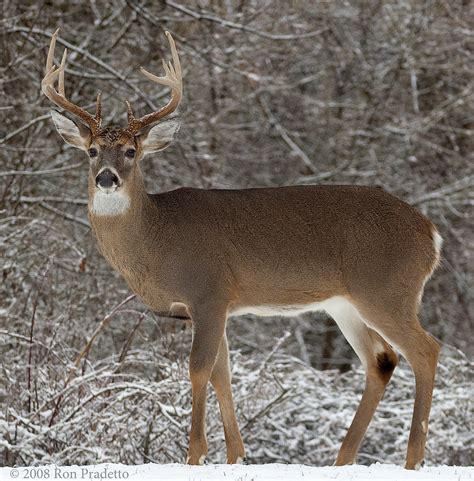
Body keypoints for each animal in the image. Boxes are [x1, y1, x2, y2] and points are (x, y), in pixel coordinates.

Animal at [42, 30, 442, 468]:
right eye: (92, 150)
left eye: (132, 151)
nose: (107, 178)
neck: (158, 240)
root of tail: (431, 233)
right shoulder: (213, 307)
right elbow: (223, 372)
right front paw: (235, 455)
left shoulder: (209, 292)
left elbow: (198, 369)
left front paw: (195, 455)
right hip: (346, 304)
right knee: (381, 361)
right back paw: (343, 460)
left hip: (386, 291)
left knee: (426, 350)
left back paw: (413, 459)